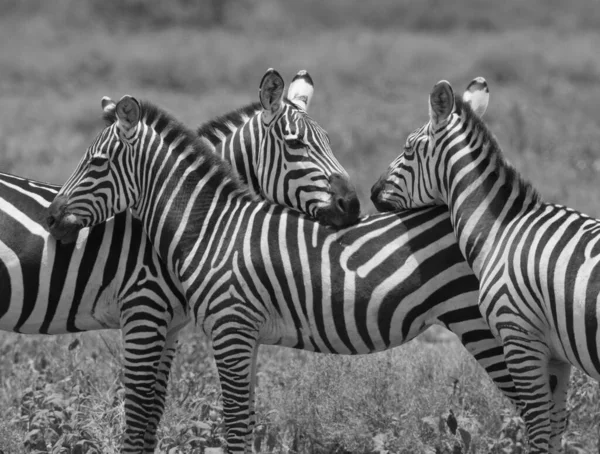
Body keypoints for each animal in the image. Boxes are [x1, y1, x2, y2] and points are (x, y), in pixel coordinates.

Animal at [47, 94, 524, 452]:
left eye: (96, 163)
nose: (51, 218)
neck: (213, 227)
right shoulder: (244, 334)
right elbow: (246, 420)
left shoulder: (228, 327)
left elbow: (234, 427)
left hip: (483, 324)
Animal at [370, 78, 600, 454]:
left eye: (407, 150)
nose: (373, 193)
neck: (500, 231)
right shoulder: (557, 355)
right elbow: (556, 429)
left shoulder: (520, 339)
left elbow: (538, 431)